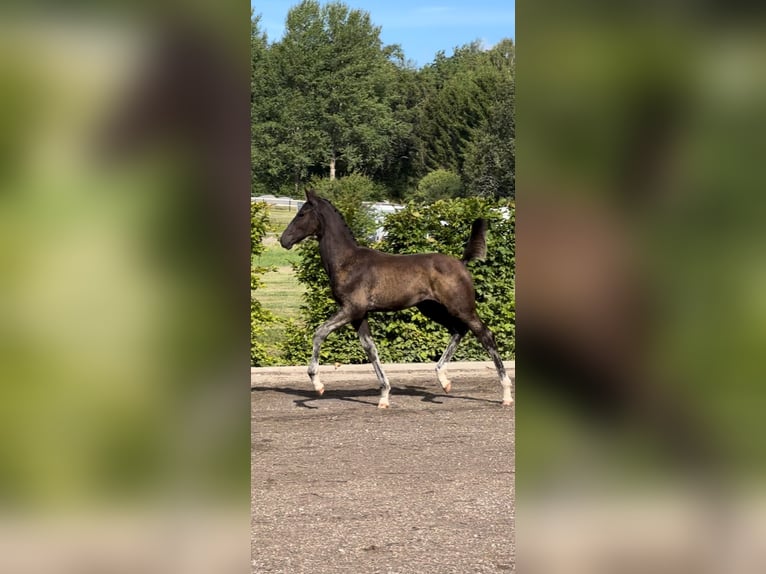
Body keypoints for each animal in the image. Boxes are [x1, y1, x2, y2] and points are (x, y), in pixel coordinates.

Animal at [280, 191, 512, 408]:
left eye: (302, 214)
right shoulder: (359, 315)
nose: (284, 240)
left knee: (485, 335)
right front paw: (384, 396)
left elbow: (320, 333)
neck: (348, 262)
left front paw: (317, 384)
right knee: (458, 330)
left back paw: (506, 393)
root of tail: (461, 262)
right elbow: (370, 348)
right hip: (432, 309)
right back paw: (444, 380)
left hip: (461, 307)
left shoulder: (351, 309)